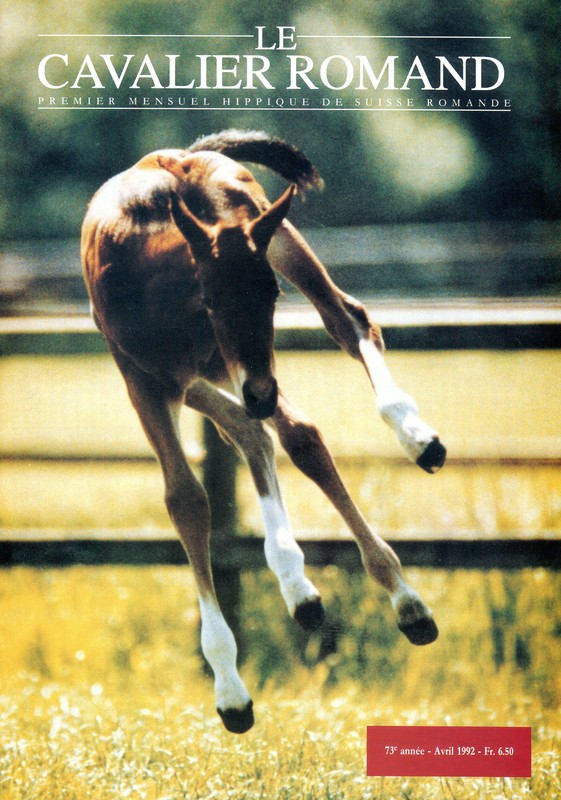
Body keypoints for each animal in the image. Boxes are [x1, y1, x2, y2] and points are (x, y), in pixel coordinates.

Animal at [81, 129, 446, 734]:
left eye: (272, 295)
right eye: (210, 298)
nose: (260, 393)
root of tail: (182, 154)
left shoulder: (224, 357)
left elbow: (272, 442)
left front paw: (229, 692)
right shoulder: (145, 377)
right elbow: (186, 498)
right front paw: (231, 685)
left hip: (277, 247)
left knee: (345, 326)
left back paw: (416, 451)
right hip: (208, 372)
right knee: (262, 433)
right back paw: (304, 588)